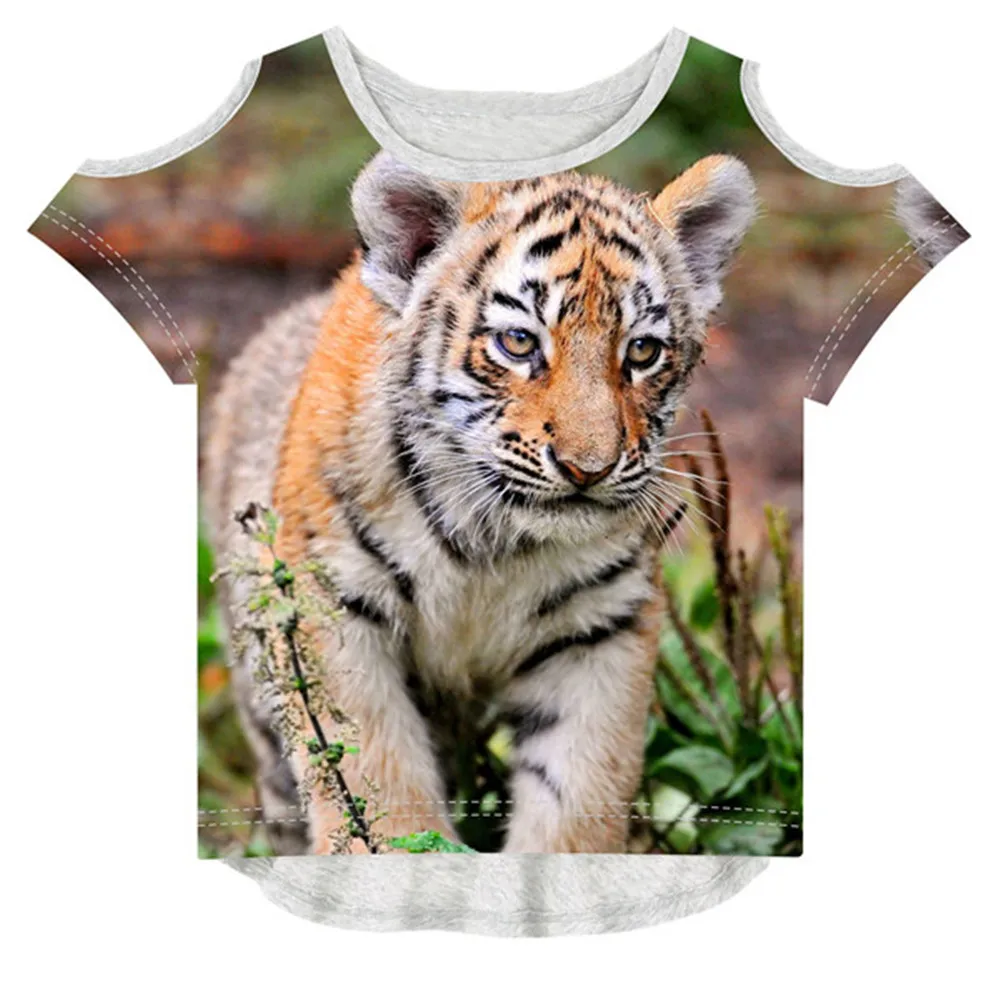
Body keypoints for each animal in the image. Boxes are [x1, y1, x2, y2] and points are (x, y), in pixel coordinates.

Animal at [205, 150, 757, 854]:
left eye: (641, 350)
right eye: (518, 344)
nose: (589, 468)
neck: (491, 543)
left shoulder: (600, 630)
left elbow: (579, 800)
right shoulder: (332, 608)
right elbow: (377, 787)